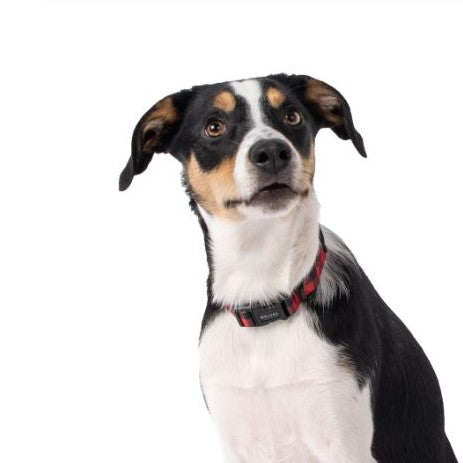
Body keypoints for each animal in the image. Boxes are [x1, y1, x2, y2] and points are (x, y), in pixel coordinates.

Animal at [118, 74, 458, 462]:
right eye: (214, 126)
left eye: (292, 117)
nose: (271, 152)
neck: (266, 300)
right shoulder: (236, 438)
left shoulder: (342, 436)